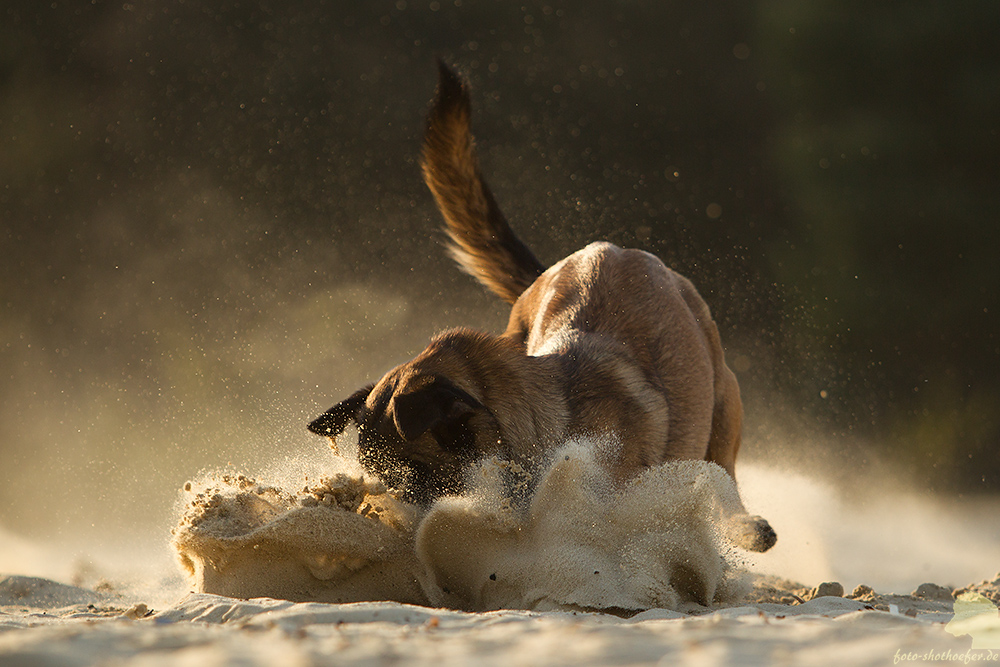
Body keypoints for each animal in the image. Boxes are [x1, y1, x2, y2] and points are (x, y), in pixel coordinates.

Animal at [308, 62, 776, 552]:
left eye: (410, 478)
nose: (395, 525)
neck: (547, 427)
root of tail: (610, 250)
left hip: (725, 407)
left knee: (725, 478)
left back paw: (747, 527)